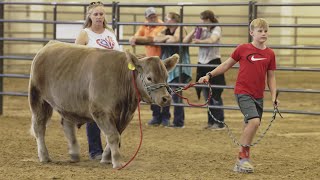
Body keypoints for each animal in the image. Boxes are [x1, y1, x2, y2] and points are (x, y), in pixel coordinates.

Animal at [28, 40, 179, 168]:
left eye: (166, 76)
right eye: (149, 78)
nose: (166, 98)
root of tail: (49, 45)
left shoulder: (126, 116)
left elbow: (116, 135)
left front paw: (106, 158)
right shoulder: (100, 112)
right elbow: (113, 135)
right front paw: (117, 162)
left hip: (68, 103)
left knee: (67, 124)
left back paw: (74, 153)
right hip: (38, 98)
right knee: (39, 127)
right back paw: (44, 156)